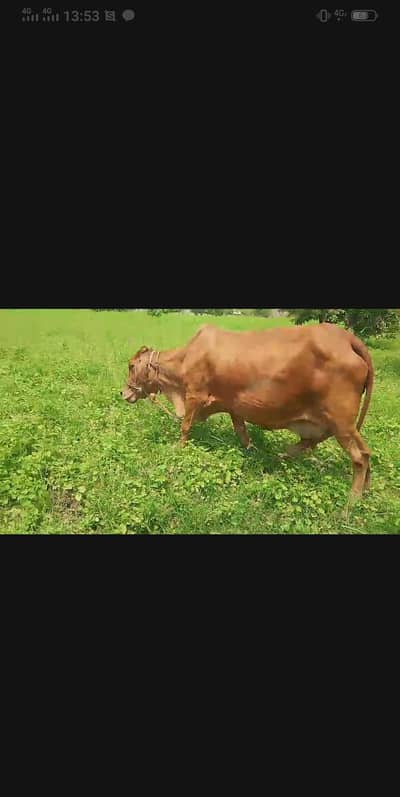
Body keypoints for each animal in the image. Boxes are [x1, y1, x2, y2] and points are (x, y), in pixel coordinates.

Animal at [121, 323, 374, 504]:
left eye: (132, 366)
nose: (123, 392)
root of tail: (347, 338)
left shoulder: (194, 395)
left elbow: (185, 427)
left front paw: (178, 450)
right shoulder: (234, 407)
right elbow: (242, 434)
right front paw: (252, 453)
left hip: (342, 423)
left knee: (359, 457)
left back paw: (350, 504)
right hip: (338, 425)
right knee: (359, 451)